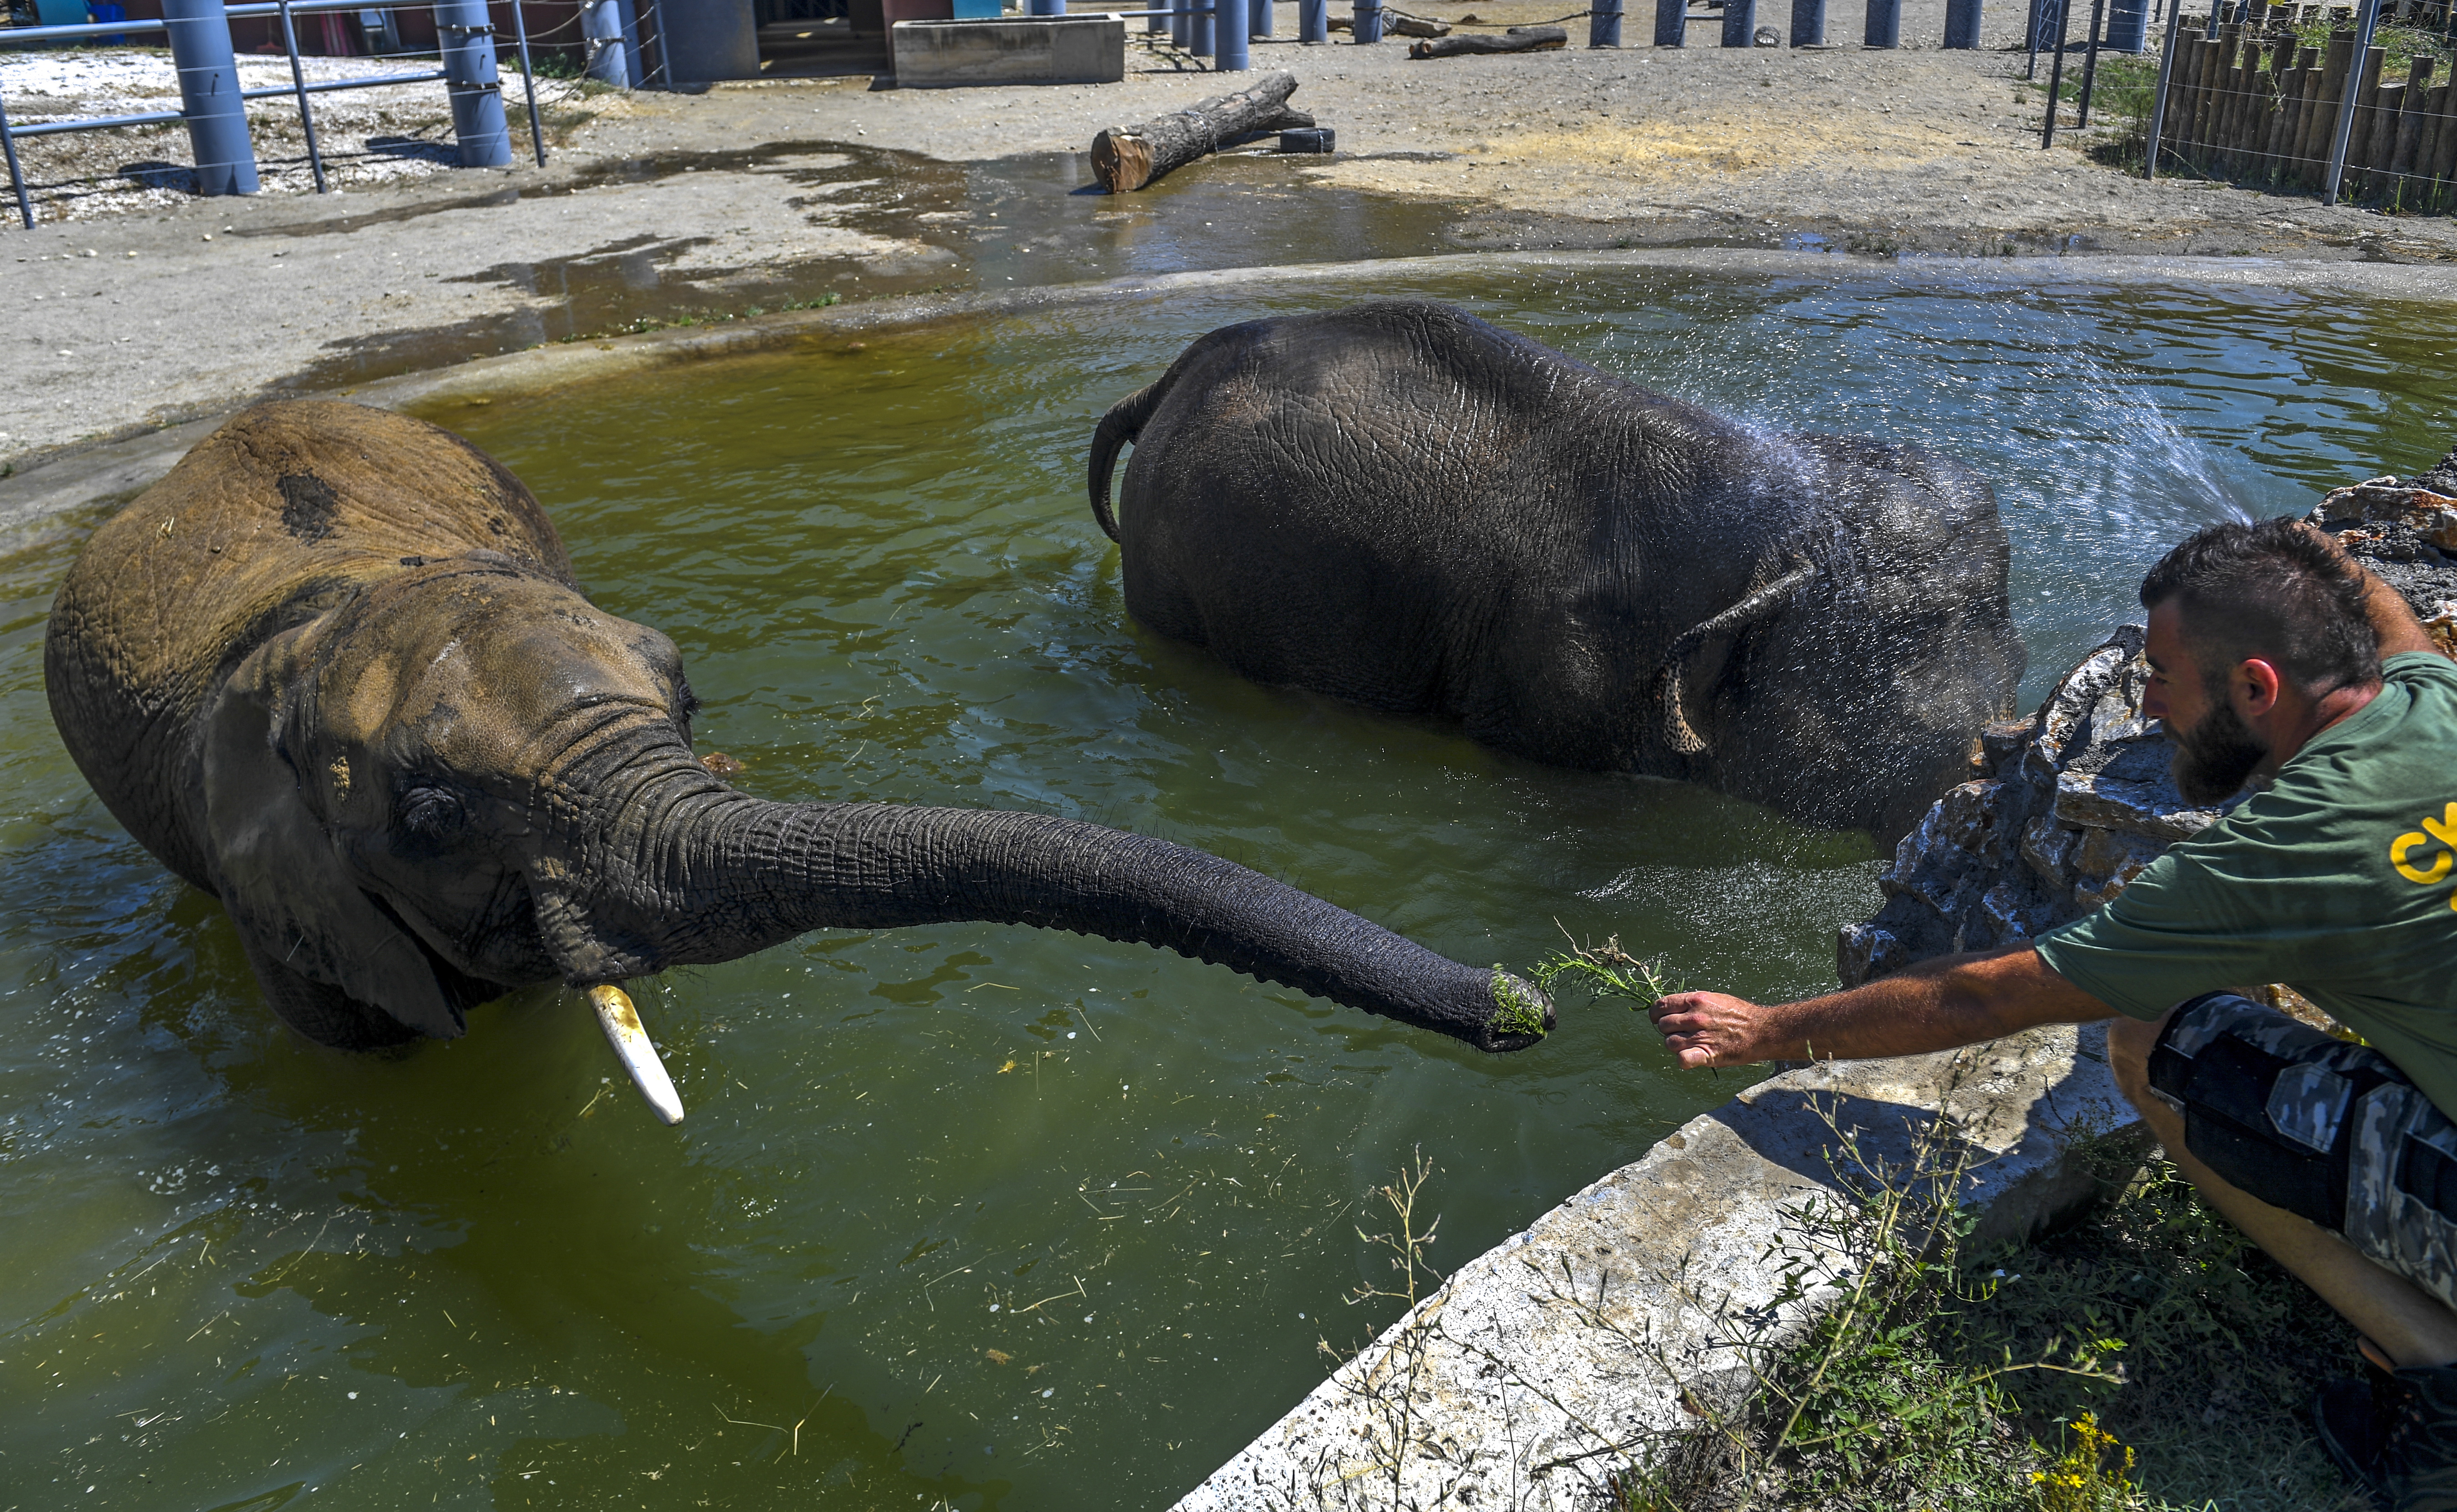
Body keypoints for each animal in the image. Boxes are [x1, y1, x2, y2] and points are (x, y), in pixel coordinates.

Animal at [1091, 296, 2015, 839]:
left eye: (2014, 648)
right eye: (1897, 647)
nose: (1990, 758)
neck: (1761, 531)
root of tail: (1175, 372)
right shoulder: (1556, 675)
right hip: (1173, 571)